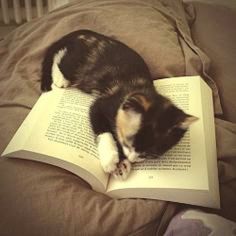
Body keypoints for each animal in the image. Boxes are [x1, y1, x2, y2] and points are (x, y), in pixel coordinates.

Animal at [41, 30, 197, 180]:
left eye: (150, 152)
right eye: (128, 142)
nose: (132, 159)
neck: (139, 88)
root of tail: (82, 33)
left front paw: (122, 166)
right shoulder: (102, 104)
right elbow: (103, 128)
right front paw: (110, 159)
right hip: (77, 63)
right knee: (60, 58)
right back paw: (59, 80)